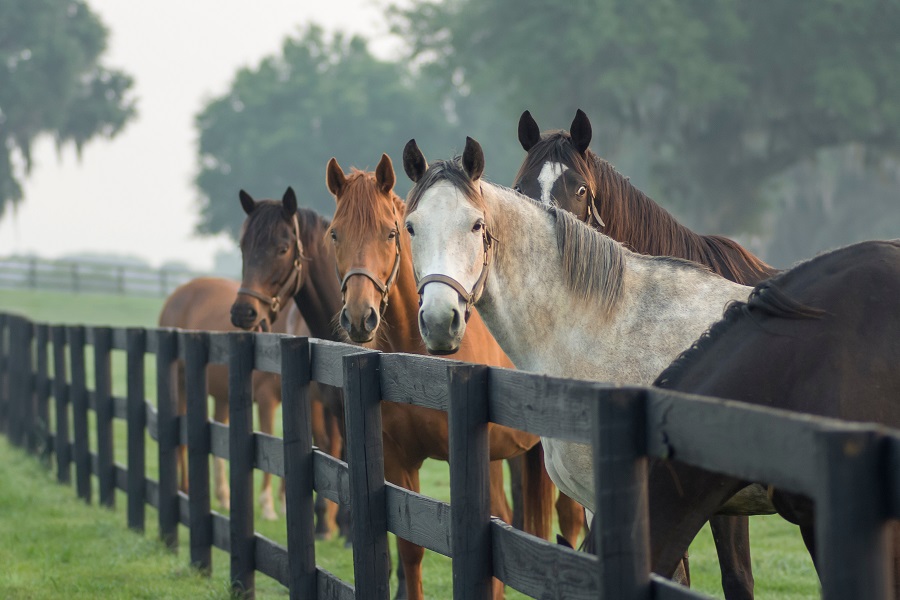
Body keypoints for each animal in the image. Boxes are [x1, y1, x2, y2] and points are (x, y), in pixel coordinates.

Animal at [156, 274, 342, 532]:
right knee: (182, 441)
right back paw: (185, 488)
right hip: (182, 383)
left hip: (223, 395)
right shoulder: (268, 399)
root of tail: (178, 292)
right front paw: (268, 505)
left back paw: (223, 495)